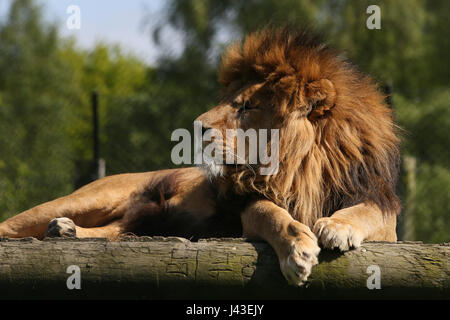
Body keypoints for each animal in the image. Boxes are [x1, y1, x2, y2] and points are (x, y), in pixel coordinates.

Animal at [0, 27, 400, 284]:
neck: (296, 168)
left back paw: (65, 231)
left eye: (247, 106)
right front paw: (298, 250)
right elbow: (272, 215)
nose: (196, 125)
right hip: (91, 198)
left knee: (112, 232)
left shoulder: (382, 211)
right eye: (231, 101)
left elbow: (368, 213)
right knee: (15, 224)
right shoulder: (246, 206)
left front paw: (336, 226)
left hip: (135, 221)